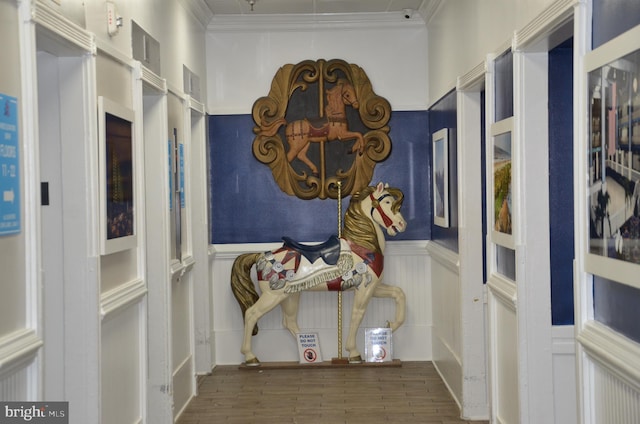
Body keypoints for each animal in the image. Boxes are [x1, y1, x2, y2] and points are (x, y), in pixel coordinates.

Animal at [232, 182, 408, 364]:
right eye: (387, 202)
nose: (402, 224)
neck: (363, 246)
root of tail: (261, 255)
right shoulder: (364, 290)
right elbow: (356, 316)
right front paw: (354, 353)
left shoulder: (373, 287)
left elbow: (399, 294)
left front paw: (390, 325)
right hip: (272, 295)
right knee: (251, 314)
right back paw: (251, 357)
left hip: (290, 296)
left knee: (289, 322)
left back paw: (309, 351)